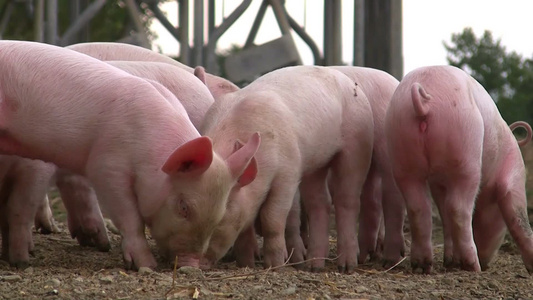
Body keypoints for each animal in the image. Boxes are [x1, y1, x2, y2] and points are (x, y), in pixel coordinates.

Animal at [197, 67, 372, 274]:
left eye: (221, 216)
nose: (196, 263)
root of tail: (352, 84)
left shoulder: (288, 172)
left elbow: (272, 218)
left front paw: (275, 267)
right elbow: (245, 227)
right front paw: (246, 264)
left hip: (356, 147)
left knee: (347, 200)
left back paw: (346, 266)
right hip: (314, 163)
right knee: (319, 203)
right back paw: (313, 266)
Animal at [384, 64, 532, 274]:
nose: (486, 262)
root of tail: (423, 100)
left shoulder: (437, 182)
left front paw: (451, 262)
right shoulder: (514, 173)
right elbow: (518, 215)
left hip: (401, 150)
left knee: (419, 207)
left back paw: (423, 267)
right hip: (464, 153)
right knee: (458, 208)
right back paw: (472, 266)